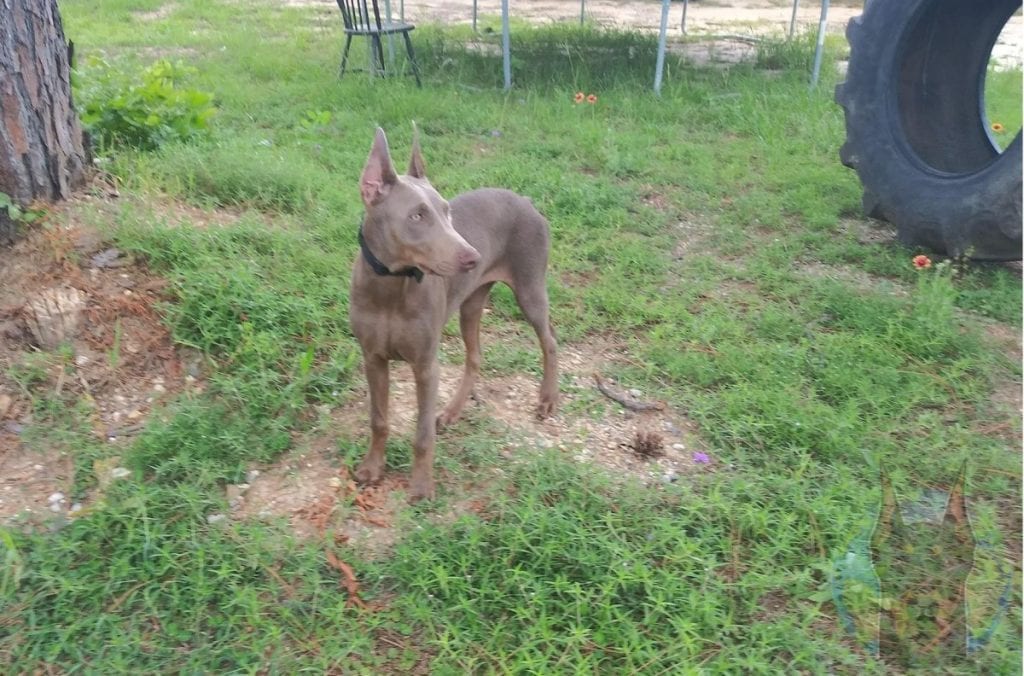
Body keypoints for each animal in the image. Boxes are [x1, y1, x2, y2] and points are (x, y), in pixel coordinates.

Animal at [350, 127, 561, 499]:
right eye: (417, 215)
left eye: (447, 211)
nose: (473, 256)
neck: (391, 286)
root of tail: (526, 201)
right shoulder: (372, 358)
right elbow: (378, 419)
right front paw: (372, 467)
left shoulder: (425, 365)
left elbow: (422, 434)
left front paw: (421, 487)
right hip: (471, 302)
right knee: (475, 356)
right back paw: (451, 411)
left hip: (530, 287)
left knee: (549, 340)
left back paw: (547, 399)